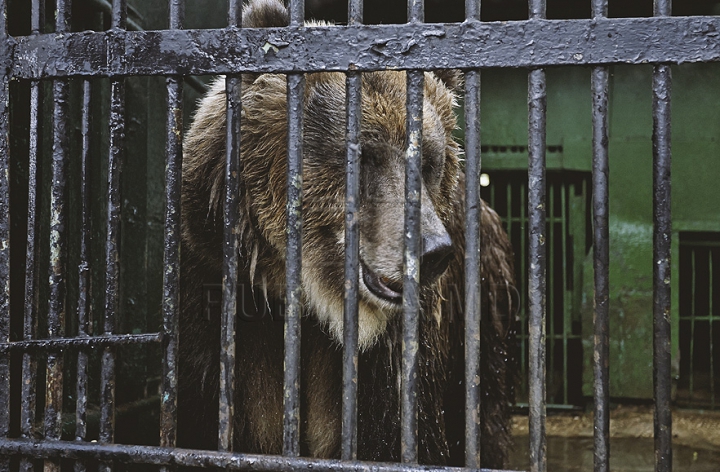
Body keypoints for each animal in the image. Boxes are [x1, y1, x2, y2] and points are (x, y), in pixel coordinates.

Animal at [180, 0, 516, 464]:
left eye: (428, 162)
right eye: (363, 155)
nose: (434, 251)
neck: (309, 304)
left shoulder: (391, 361)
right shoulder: (222, 304)